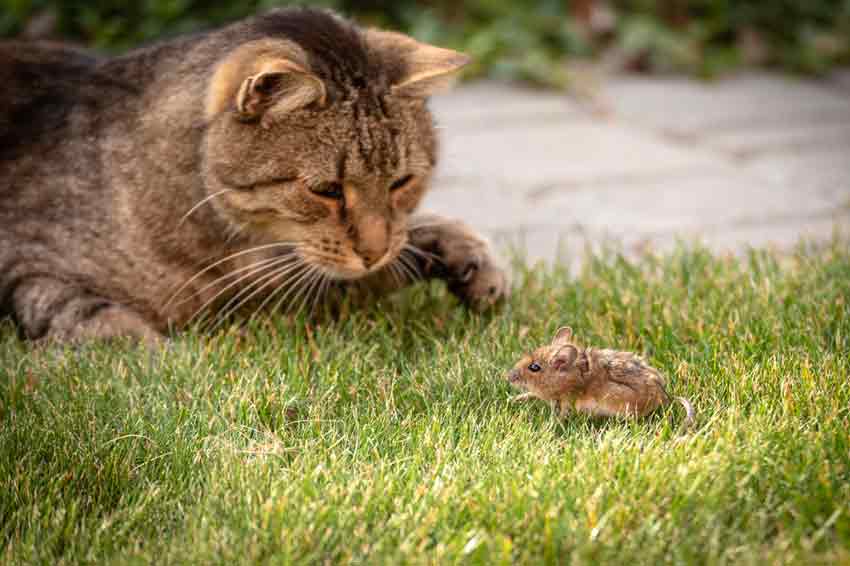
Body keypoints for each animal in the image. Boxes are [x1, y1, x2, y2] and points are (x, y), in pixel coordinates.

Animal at [0, 7, 504, 346]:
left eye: (401, 183)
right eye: (325, 190)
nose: (373, 252)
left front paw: (459, 254)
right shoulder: (22, 259)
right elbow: (83, 312)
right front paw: (148, 355)